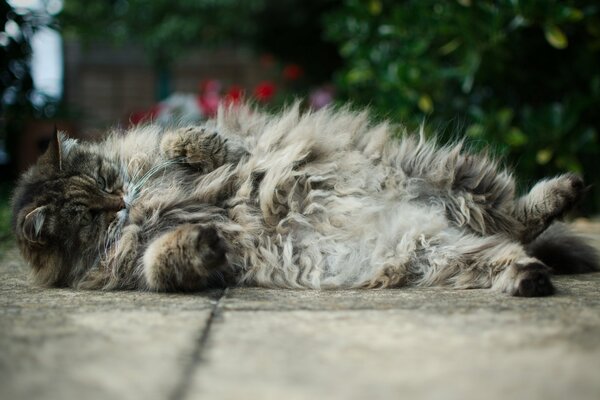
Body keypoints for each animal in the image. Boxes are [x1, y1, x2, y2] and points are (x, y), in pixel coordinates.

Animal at [10, 103, 600, 296]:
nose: (122, 202)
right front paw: (200, 242)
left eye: (110, 182)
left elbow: (184, 140)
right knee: (509, 247)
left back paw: (567, 190)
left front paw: (209, 146)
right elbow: (163, 262)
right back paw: (529, 279)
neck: (145, 209)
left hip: (445, 178)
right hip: (435, 255)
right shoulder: (138, 267)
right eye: (91, 214)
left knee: (520, 219)